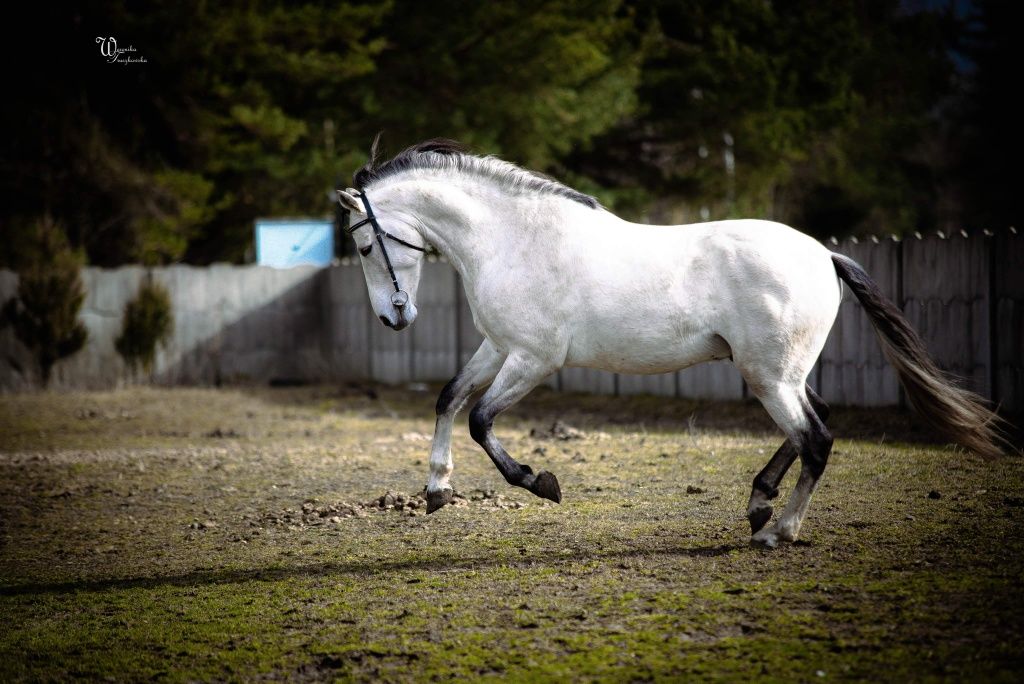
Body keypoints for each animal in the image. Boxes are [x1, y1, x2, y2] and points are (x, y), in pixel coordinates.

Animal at [335, 140, 999, 548]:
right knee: (816, 423)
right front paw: (436, 490)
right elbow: (449, 399)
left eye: (366, 246)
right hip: (780, 373)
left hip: (769, 375)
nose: (394, 316)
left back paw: (775, 531)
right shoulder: (498, 348)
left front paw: (540, 481)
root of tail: (823, 253)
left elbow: (480, 420)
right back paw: (759, 505)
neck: (513, 240)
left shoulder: (533, 358)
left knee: (817, 439)